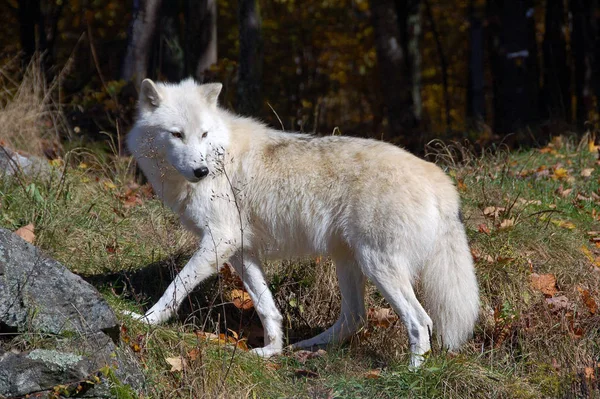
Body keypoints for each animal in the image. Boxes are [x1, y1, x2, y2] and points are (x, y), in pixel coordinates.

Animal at [125, 78, 478, 368]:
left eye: (203, 134)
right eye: (176, 135)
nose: (201, 171)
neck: (220, 154)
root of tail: (439, 178)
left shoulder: (219, 240)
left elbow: (176, 287)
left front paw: (144, 321)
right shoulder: (240, 250)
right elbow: (267, 307)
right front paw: (271, 351)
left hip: (377, 265)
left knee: (420, 321)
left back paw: (411, 372)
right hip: (348, 261)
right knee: (355, 318)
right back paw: (306, 346)